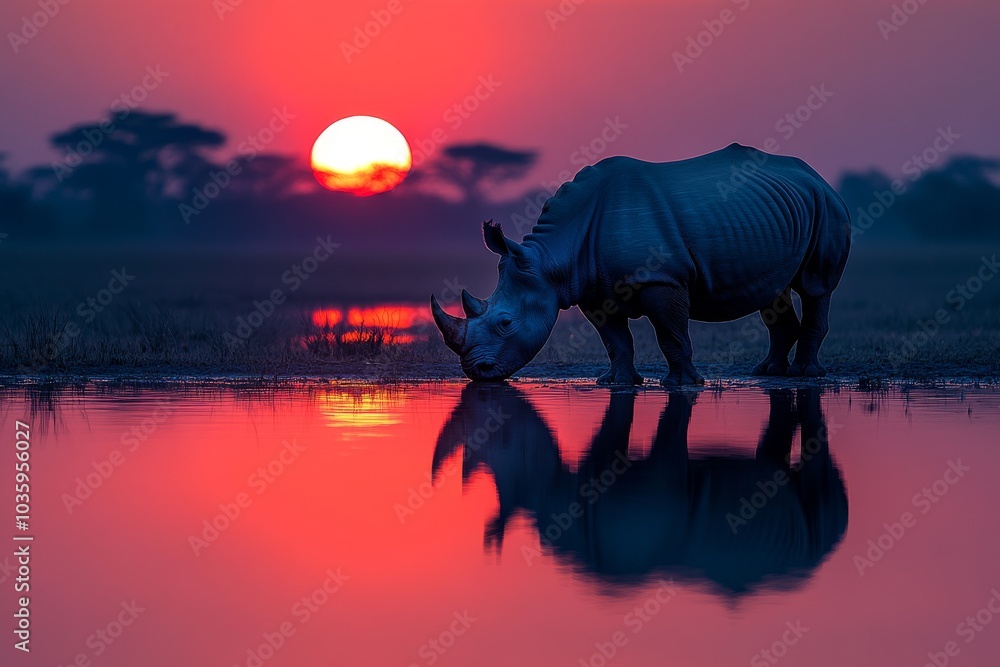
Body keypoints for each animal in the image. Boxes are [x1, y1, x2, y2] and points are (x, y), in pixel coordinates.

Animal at [431, 144, 852, 385]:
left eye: (505, 323)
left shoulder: (661, 279)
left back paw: (806, 374)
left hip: (826, 206)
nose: (476, 372)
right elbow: (615, 339)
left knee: (815, 286)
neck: (552, 259)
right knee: (773, 290)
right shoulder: (592, 291)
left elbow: (671, 334)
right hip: (776, 213)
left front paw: (682, 384)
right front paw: (615, 383)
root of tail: (815, 174)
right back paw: (767, 373)